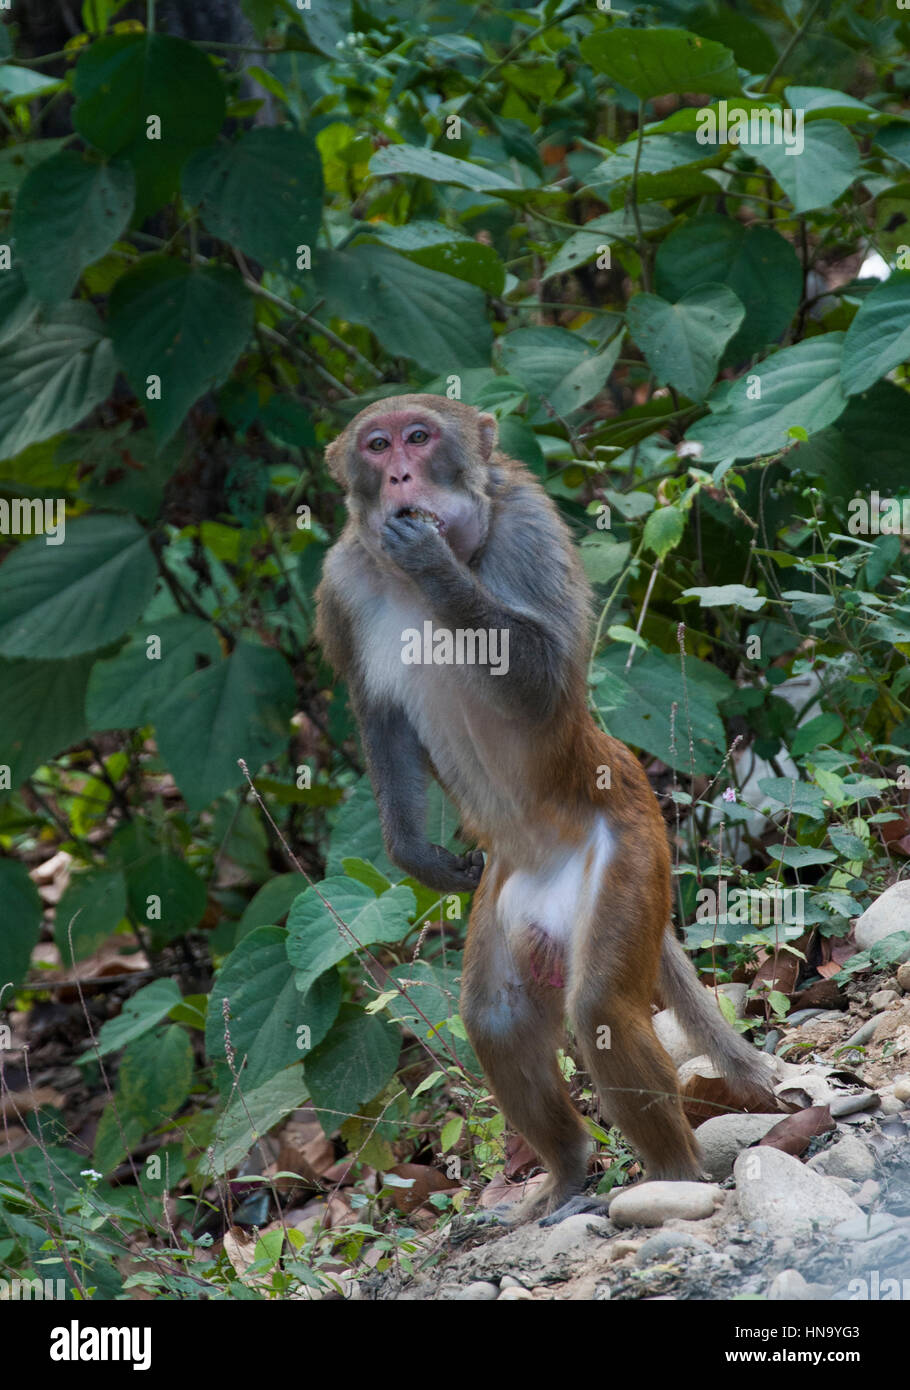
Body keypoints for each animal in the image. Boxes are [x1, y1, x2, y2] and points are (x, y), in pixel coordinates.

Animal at [315, 397, 778, 1223]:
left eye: (419, 437)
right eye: (377, 444)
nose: (399, 475)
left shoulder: (529, 525)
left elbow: (546, 677)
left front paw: (435, 566)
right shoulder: (342, 581)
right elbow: (381, 717)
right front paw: (416, 854)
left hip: (633, 847)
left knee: (599, 1006)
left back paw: (675, 1175)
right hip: (508, 893)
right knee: (497, 1022)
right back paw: (568, 1172)